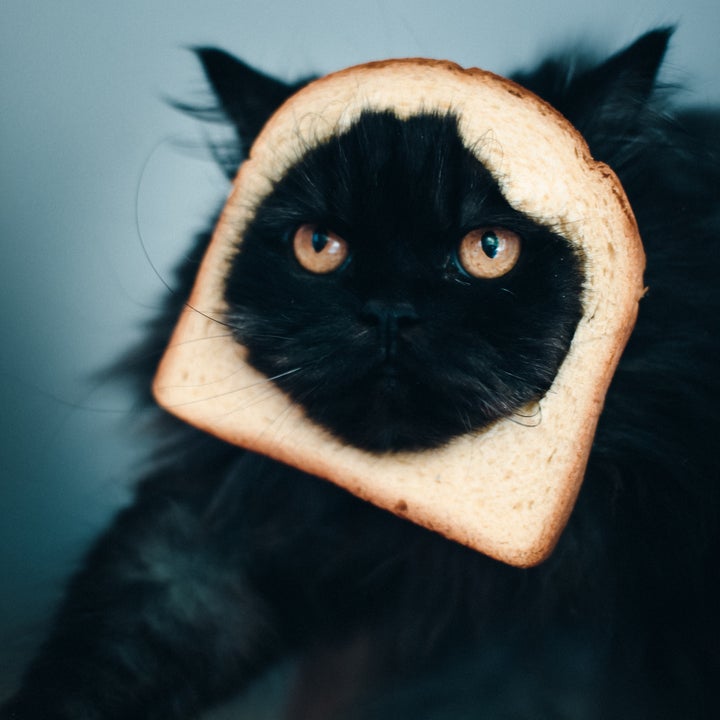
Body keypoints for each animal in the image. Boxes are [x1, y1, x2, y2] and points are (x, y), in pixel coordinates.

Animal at [1, 26, 720, 716]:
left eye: (490, 248)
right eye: (319, 246)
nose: (390, 312)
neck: (408, 546)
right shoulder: (206, 549)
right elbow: (111, 650)